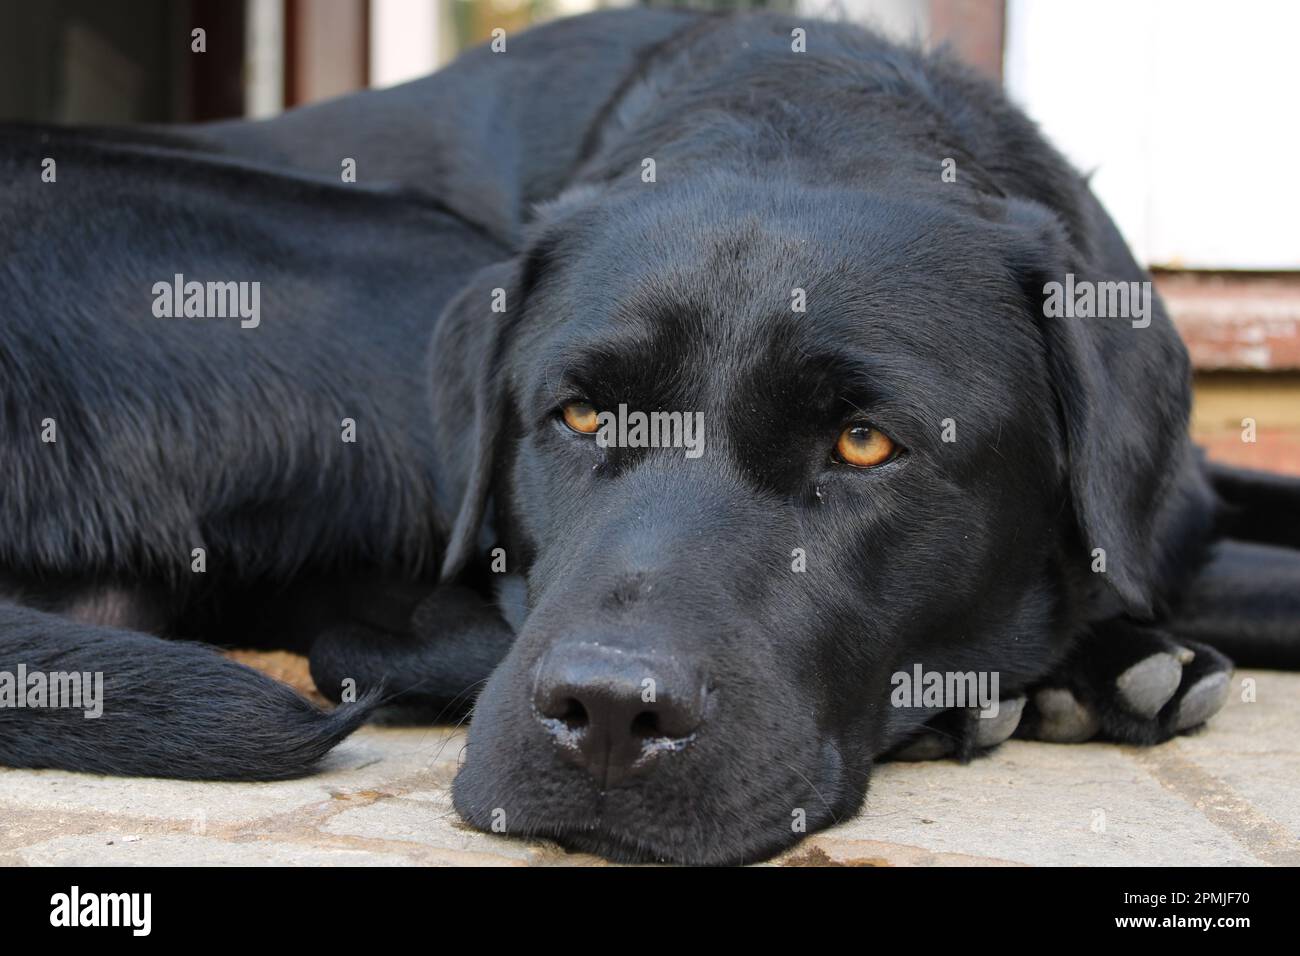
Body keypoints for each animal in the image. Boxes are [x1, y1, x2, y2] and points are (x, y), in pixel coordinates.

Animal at [0, 11, 1294, 868]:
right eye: (579, 414)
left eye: (863, 443)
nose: (609, 713)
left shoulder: (1178, 499)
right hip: (395, 254)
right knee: (371, 635)